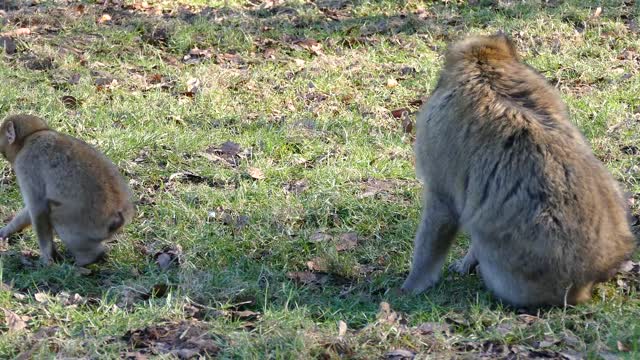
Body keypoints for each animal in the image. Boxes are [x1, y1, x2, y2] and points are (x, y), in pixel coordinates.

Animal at [0, 114, 132, 266]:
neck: (28, 139)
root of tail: (120, 214)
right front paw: (7, 230)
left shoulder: (26, 164)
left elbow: (38, 207)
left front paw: (46, 259)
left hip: (87, 222)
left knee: (56, 216)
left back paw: (88, 259)